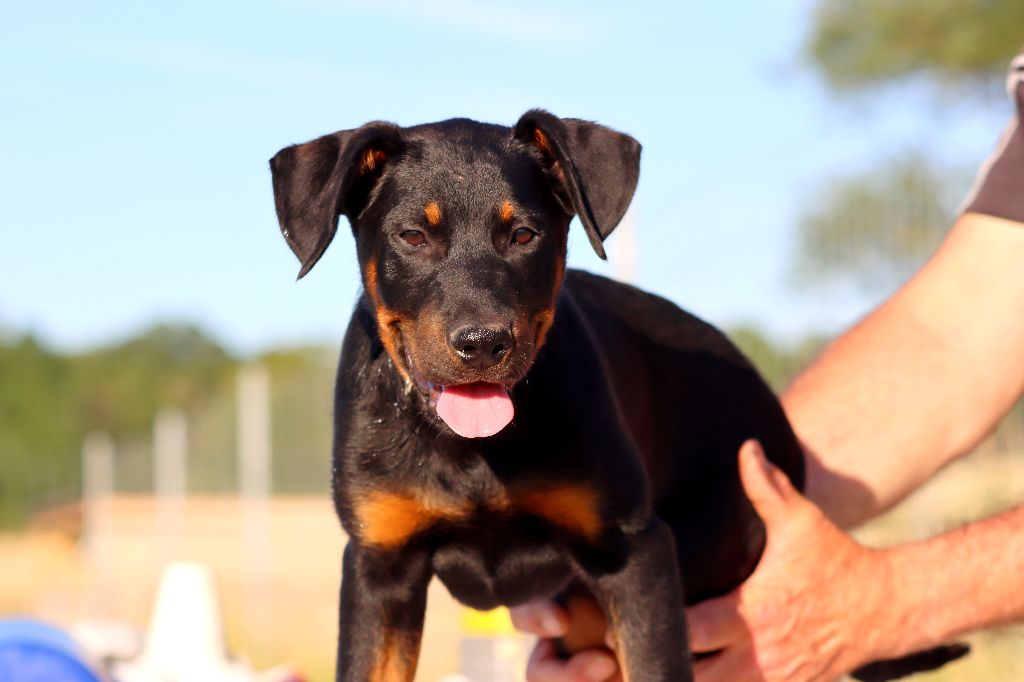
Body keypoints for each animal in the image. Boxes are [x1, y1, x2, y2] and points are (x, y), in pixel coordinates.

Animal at [270, 111, 966, 679]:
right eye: (413, 236)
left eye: (524, 235)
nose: (483, 342)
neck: (471, 451)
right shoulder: (379, 567)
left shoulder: (636, 554)